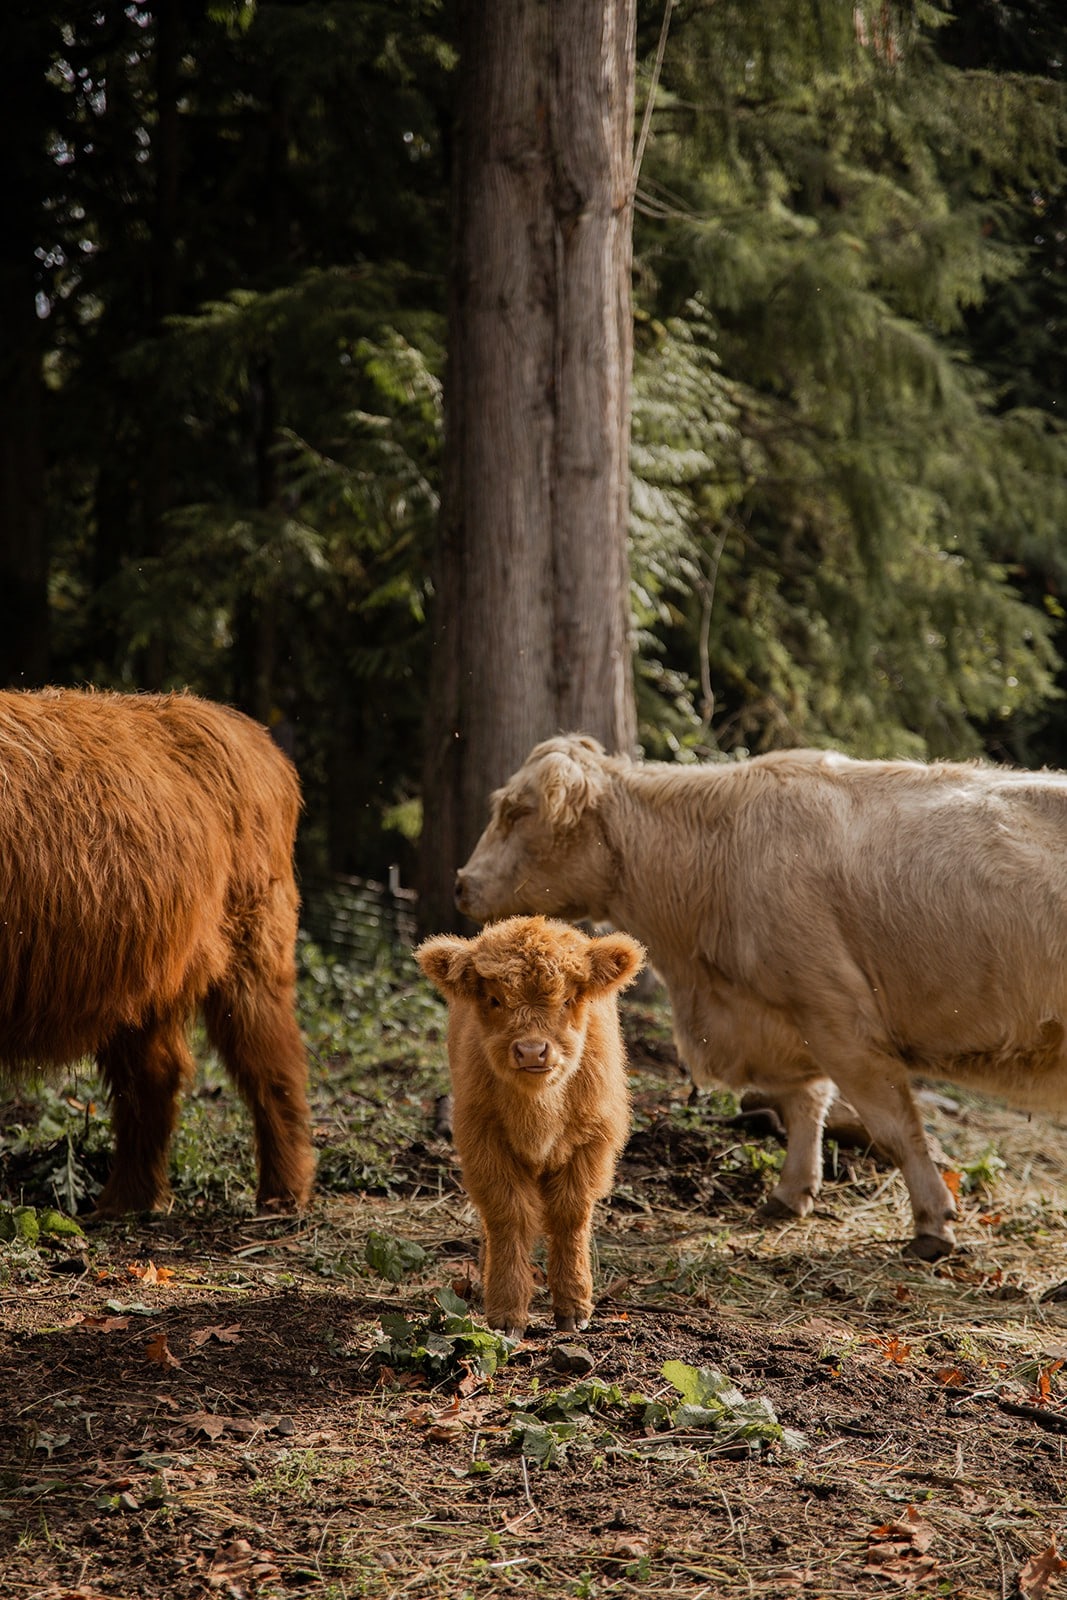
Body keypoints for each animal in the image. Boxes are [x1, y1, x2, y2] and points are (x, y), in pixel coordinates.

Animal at [0, 688, 315, 1209]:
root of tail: (252, 734)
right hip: (146, 979)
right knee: (154, 1077)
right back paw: (127, 1199)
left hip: (253, 947)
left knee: (274, 1063)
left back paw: (282, 1193)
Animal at [415, 915, 643, 1337]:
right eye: (494, 1000)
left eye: (567, 999)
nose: (533, 1051)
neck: (539, 1109)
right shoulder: (484, 1144)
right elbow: (509, 1216)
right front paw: (506, 1313)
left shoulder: (593, 1144)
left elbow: (570, 1215)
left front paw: (573, 1308)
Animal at [460, 736, 1067, 1260]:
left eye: (515, 811)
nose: (462, 882)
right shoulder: (788, 1020)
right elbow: (804, 1104)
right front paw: (790, 1193)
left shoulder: (837, 1017)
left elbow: (895, 1126)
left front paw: (932, 1224)